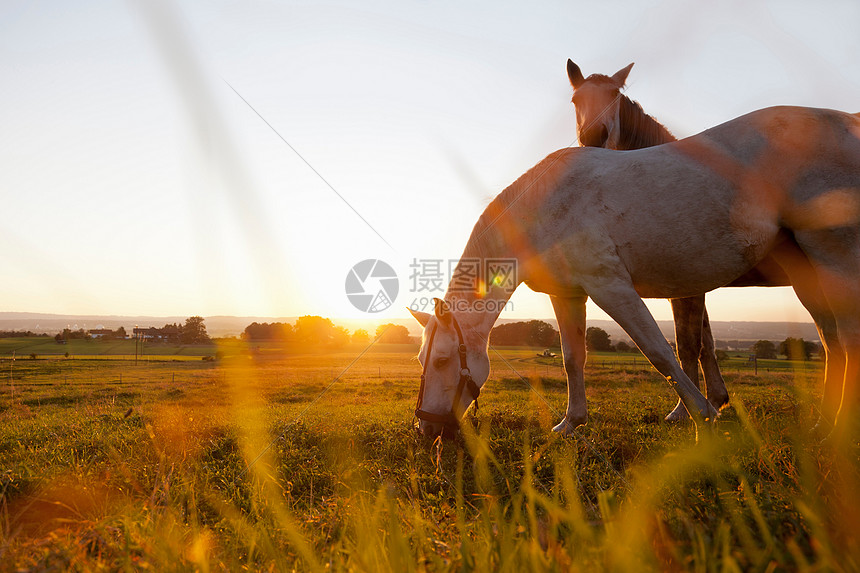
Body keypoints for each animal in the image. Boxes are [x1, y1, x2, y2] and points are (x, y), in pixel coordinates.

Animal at [410, 104, 860, 442]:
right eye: (421, 359)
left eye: (443, 360)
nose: (426, 428)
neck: (545, 205)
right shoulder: (568, 294)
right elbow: (573, 358)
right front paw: (571, 423)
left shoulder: (611, 287)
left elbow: (661, 352)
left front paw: (704, 417)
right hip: (808, 274)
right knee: (832, 344)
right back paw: (823, 425)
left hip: (835, 258)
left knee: (848, 341)